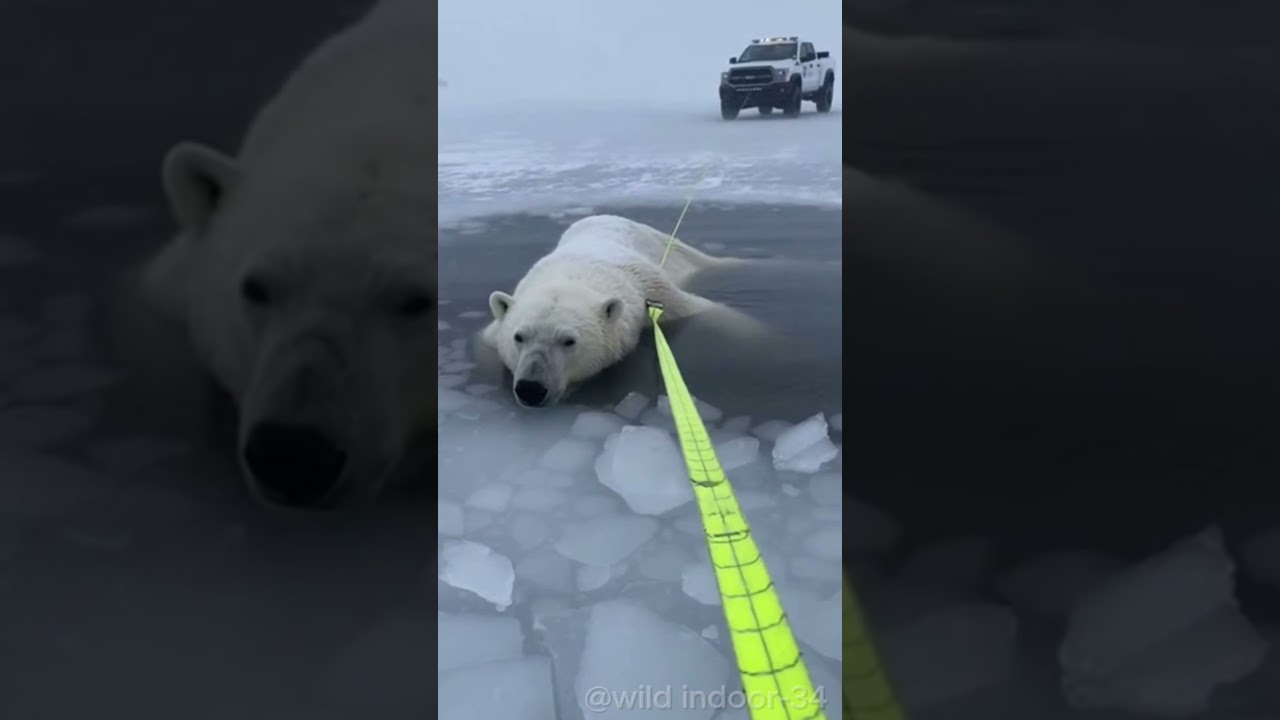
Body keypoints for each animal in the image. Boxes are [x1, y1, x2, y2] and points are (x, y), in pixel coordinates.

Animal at [478, 214, 768, 409]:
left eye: (568, 341)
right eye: (519, 337)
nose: (531, 389)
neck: (576, 272)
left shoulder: (657, 294)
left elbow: (710, 312)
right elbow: (485, 340)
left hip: (669, 246)